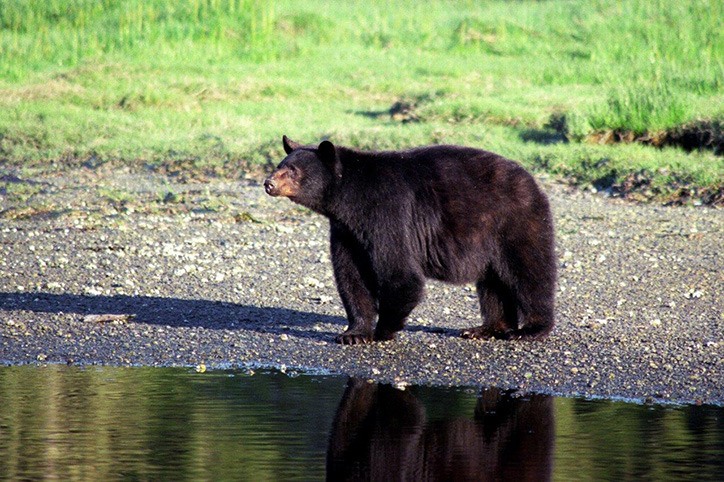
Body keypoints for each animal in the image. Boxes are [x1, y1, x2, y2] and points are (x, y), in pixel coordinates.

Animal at [264, 136, 556, 344]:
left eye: (292, 170)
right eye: (279, 165)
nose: (268, 183)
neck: (350, 200)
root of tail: (532, 181)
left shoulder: (387, 214)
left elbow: (400, 273)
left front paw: (382, 331)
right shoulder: (347, 232)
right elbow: (352, 276)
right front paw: (353, 333)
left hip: (514, 222)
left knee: (529, 271)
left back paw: (530, 329)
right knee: (492, 282)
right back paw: (486, 328)